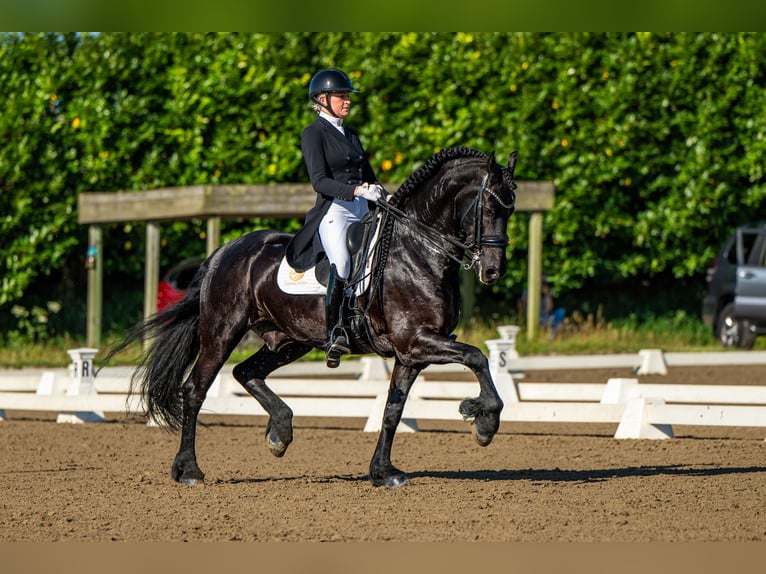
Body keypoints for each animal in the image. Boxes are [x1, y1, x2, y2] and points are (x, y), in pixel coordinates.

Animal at [108, 146, 520, 488]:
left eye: (510, 210)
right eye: (488, 209)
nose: (493, 272)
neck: (418, 250)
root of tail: (224, 252)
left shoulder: (412, 353)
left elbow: (393, 410)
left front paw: (384, 472)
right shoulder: (417, 341)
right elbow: (477, 357)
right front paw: (484, 422)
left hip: (289, 341)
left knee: (245, 372)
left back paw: (280, 433)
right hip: (222, 332)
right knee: (195, 390)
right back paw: (189, 470)